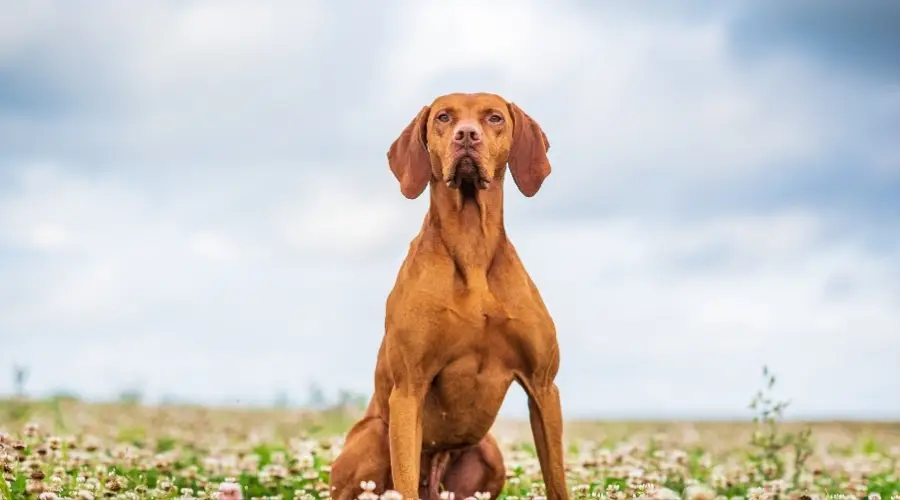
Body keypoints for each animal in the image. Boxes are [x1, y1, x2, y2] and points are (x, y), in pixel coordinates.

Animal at [330, 93, 568, 500]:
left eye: (494, 117)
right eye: (443, 117)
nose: (467, 135)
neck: (471, 244)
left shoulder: (543, 386)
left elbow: (557, 481)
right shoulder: (408, 390)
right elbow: (405, 479)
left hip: (488, 451)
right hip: (376, 433)